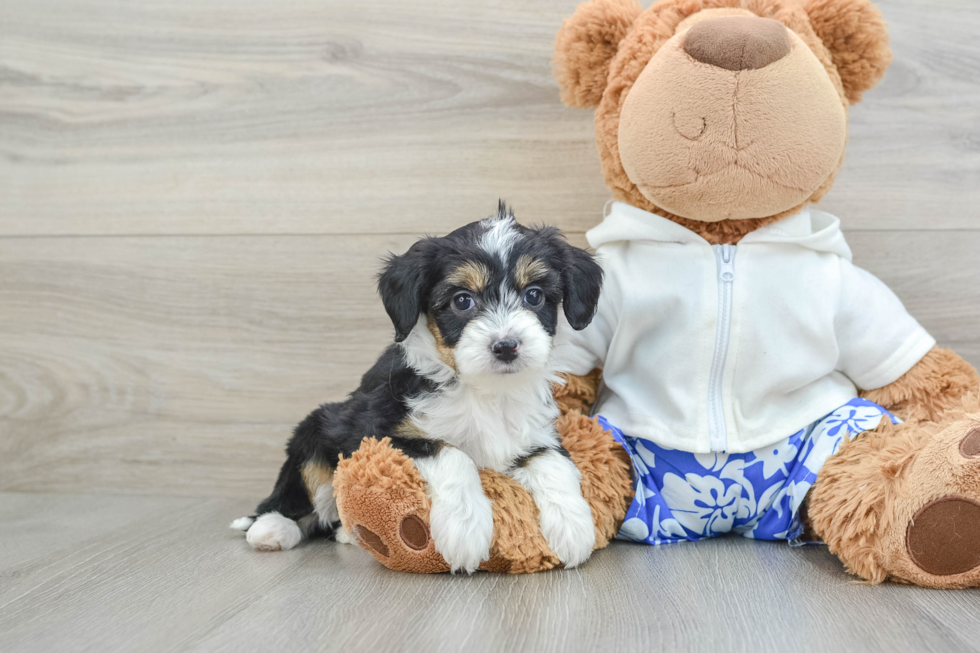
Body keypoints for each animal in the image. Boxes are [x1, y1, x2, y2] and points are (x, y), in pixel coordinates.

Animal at [232, 202, 604, 572]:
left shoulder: (537, 431)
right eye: (462, 301)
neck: (482, 391)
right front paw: (465, 530)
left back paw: (345, 533)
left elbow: (553, 462)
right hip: (314, 431)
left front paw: (573, 527)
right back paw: (271, 528)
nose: (506, 346)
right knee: (297, 492)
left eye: (534, 296)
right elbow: (451, 452)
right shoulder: (378, 431)